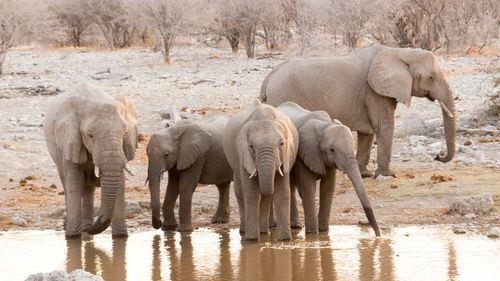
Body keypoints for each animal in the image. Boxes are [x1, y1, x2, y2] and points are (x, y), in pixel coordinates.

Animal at [43, 83, 139, 236]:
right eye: (89, 135)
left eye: (124, 134)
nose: (88, 227)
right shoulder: (70, 139)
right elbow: (75, 182)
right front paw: (73, 236)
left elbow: (120, 183)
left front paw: (121, 236)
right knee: (68, 183)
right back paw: (74, 226)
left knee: (88, 188)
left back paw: (86, 224)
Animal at [262, 46, 458, 177]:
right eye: (430, 78)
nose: (438, 156)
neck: (399, 52)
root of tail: (268, 78)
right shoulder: (374, 92)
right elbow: (384, 126)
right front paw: (388, 175)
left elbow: (368, 132)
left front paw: (365, 174)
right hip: (282, 96)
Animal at [278, 100, 378, 234]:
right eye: (332, 150)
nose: (378, 235)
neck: (324, 126)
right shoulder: (304, 153)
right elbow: (307, 187)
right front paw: (313, 234)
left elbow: (328, 187)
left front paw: (324, 231)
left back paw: (296, 226)